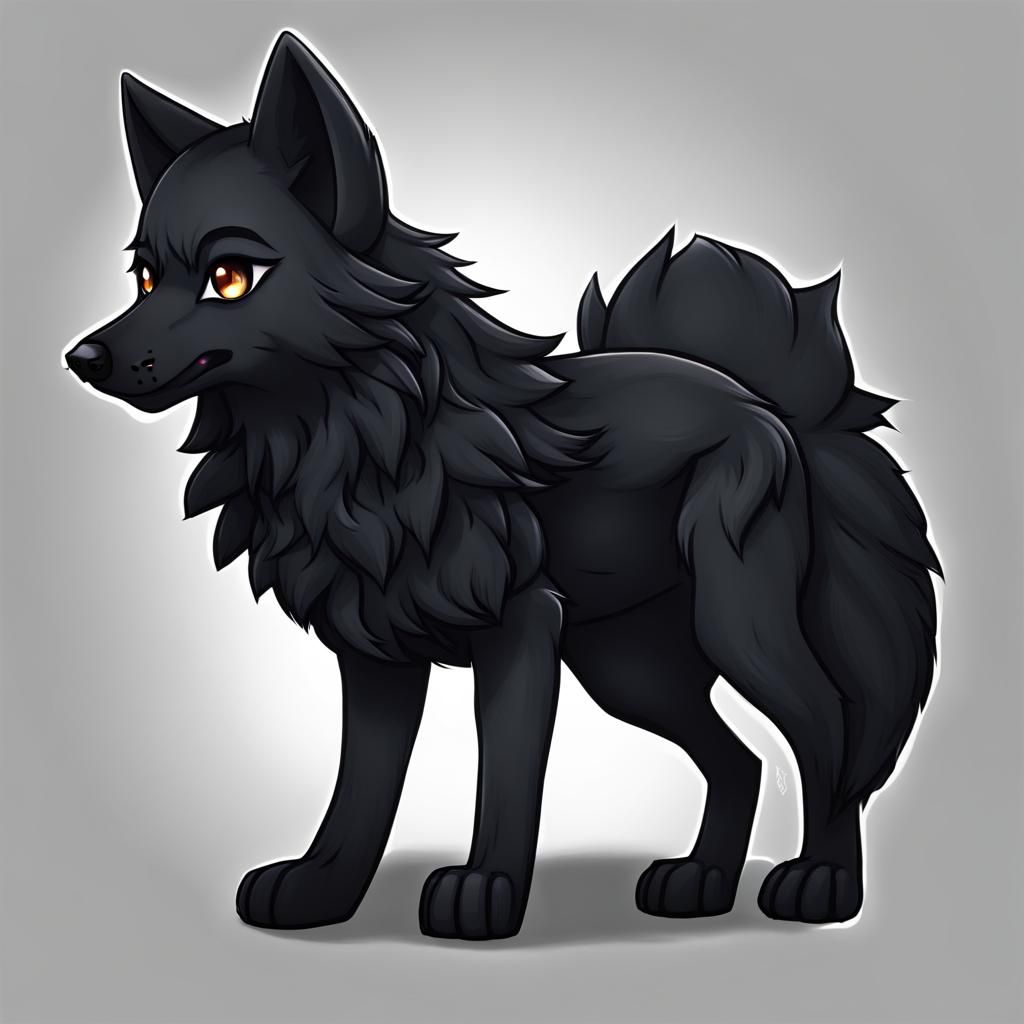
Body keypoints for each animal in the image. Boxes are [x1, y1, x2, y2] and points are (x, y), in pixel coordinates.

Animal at [66, 30, 940, 940]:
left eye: (231, 276)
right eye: (143, 278)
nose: (84, 357)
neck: (361, 438)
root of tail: (769, 400)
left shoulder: (519, 628)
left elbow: (508, 770)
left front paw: (483, 892)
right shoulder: (372, 648)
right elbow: (361, 788)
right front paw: (320, 891)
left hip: (736, 624)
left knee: (830, 729)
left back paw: (823, 883)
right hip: (629, 667)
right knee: (737, 759)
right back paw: (699, 879)